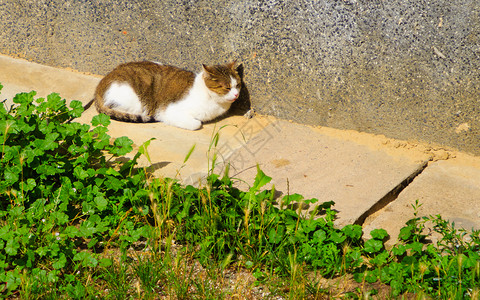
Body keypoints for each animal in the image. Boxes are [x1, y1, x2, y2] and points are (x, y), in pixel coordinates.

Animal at [90, 61, 242, 130]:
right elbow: (196, 123)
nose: (236, 95)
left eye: (238, 85)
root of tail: (101, 84)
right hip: (136, 102)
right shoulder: (168, 110)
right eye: (227, 87)